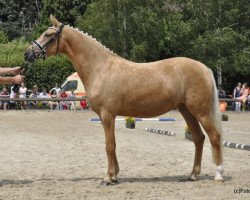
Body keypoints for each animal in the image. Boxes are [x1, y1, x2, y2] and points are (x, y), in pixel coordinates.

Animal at [24, 15, 225, 186]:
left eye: (48, 34)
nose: (28, 54)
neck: (100, 68)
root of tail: (205, 68)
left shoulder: (107, 115)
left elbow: (109, 146)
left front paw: (108, 178)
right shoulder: (108, 116)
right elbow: (113, 145)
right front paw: (115, 175)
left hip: (200, 112)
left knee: (214, 137)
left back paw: (218, 174)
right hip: (186, 110)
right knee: (199, 138)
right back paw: (193, 175)